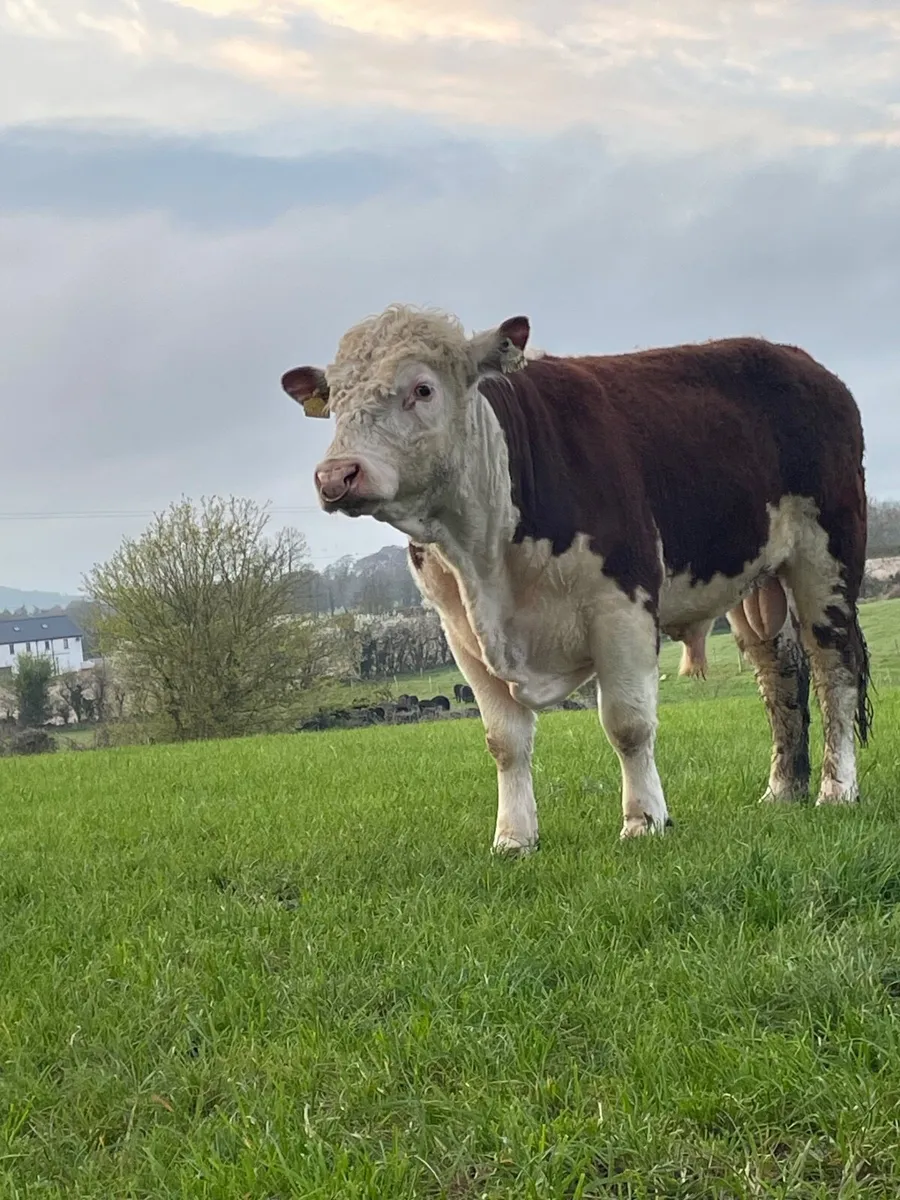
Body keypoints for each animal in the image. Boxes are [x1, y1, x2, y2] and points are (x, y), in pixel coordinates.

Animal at [282, 304, 871, 852]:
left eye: (422, 389)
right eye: (335, 402)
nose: (336, 475)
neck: (487, 553)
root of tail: (801, 362)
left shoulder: (622, 606)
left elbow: (628, 724)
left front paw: (644, 820)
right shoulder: (460, 633)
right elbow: (504, 739)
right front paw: (513, 837)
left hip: (827, 557)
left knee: (833, 667)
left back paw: (837, 790)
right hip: (757, 585)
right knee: (780, 674)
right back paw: (783, 791)